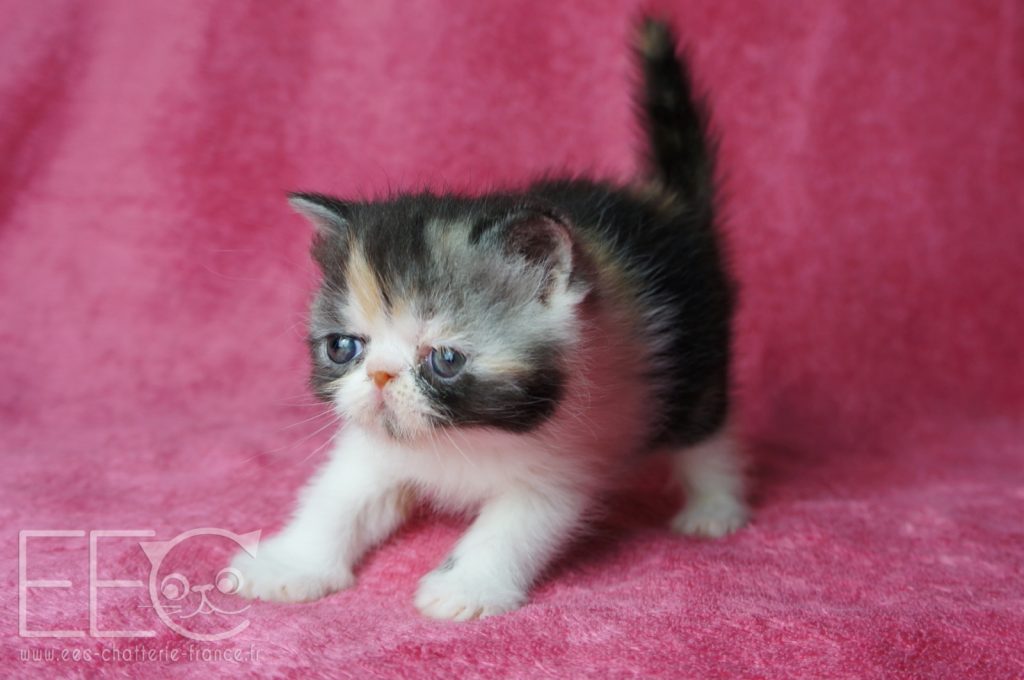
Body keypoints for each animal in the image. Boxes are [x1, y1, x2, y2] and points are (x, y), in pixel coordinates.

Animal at [230, 17, 745, 622]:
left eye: (446, 359)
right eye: (343, 347)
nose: (380, 376)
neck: (459, 438)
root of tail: (667, 205)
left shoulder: (567, 456)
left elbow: (512, 528)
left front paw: (465, 589)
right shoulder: (373, 448)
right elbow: (338, 498)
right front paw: (290, 566)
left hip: (696, 357)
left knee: (705, 430)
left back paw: (715, 507)